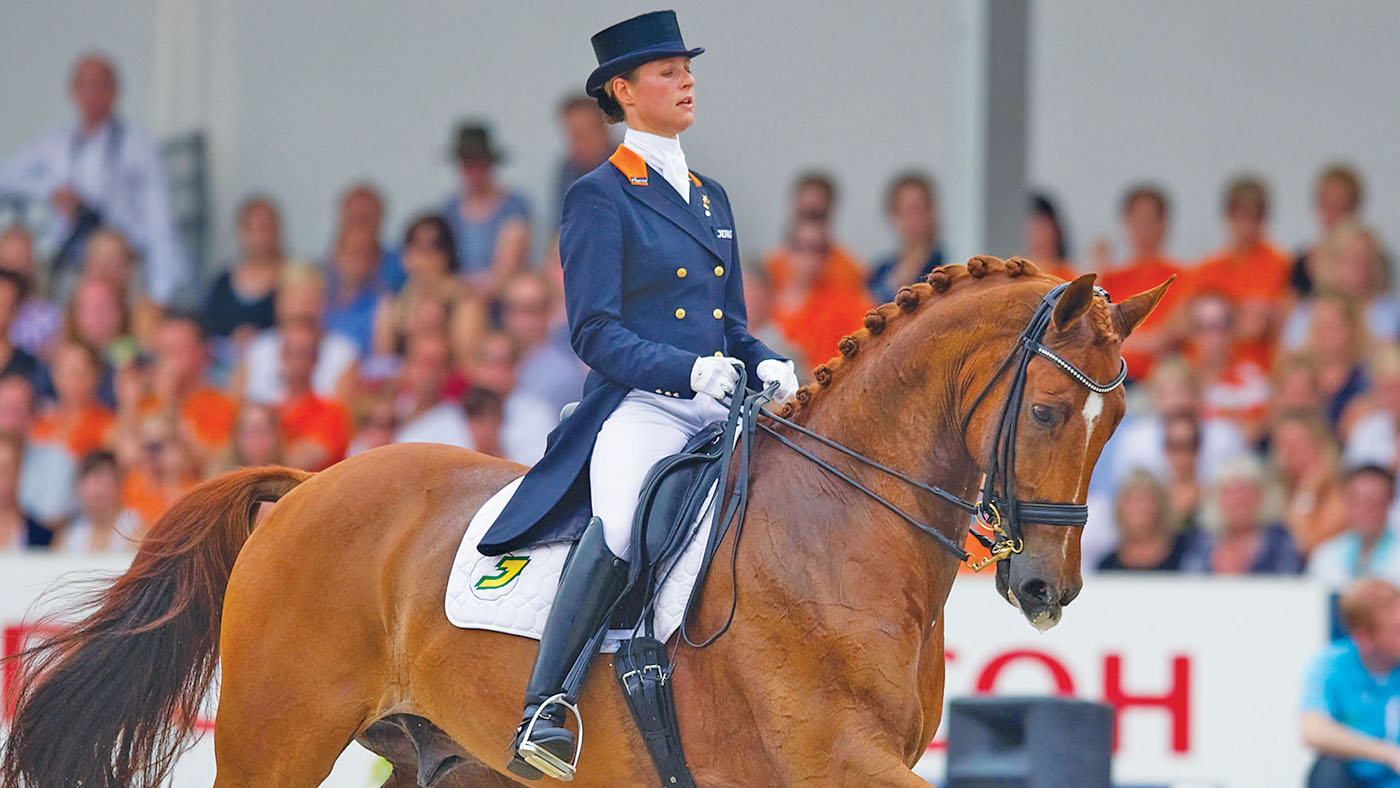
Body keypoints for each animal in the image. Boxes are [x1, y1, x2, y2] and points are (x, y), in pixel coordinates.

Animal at [1, 256, 1168, 788]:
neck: (839, 529)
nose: (1043, 589)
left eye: (1117, 424)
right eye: (1051, 411)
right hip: (275, 734)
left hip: (445, 757)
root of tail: (308, 489)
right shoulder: (834, 757)